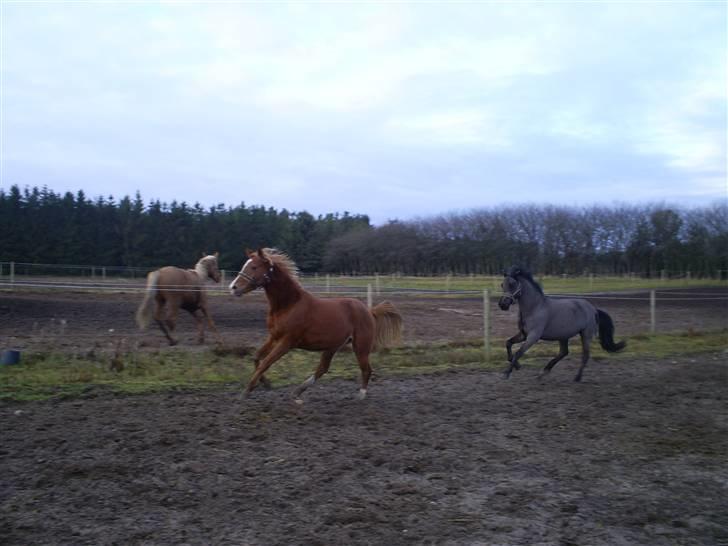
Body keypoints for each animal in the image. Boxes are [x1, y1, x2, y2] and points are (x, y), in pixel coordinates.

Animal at [229, 249, 404, 398]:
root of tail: (369, 311)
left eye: (254, 267)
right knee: (323, 368)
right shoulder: (273, 337)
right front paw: (265, 383)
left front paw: (247, 390)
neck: (288, 305)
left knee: (366, 369)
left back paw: (360, 395)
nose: (233, 287)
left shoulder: (287, 342)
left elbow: (266, 362)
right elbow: (257, 358)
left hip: (360, 346)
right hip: (333, 346)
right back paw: (298, 391)